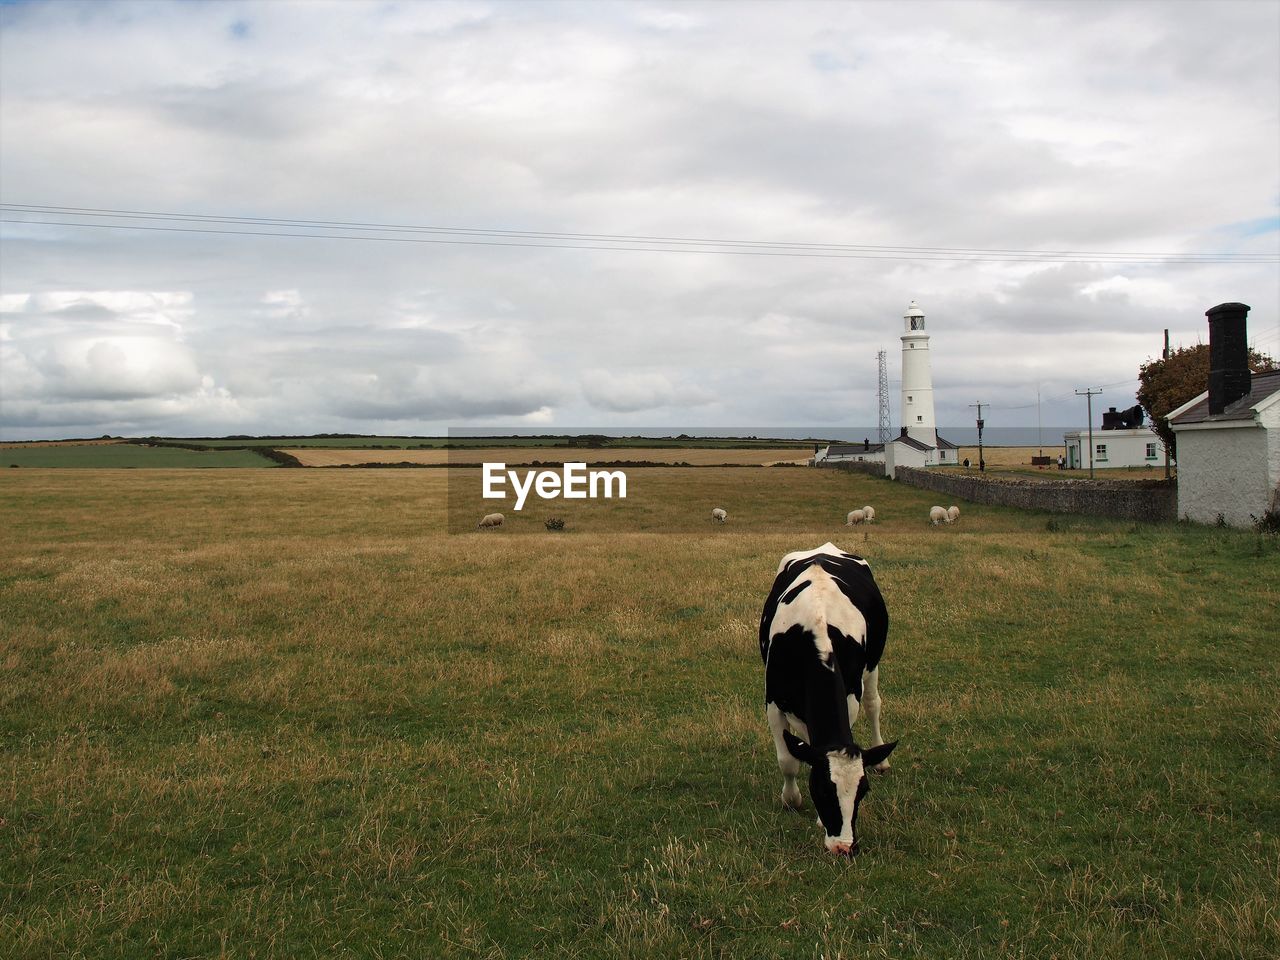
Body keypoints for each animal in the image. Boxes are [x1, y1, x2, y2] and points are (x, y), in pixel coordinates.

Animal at [757, 542, 901, 855]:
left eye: (863, 791)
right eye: (822, 789)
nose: (844, 847)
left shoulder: (850, 698)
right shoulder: (773, 701)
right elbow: (787, 759)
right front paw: (791, 799)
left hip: (873, 664)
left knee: (874, 704)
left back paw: (881, 758)